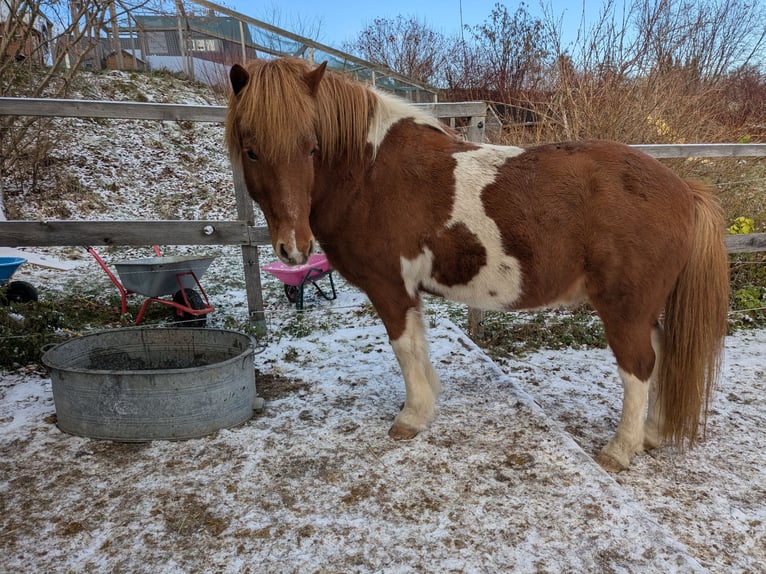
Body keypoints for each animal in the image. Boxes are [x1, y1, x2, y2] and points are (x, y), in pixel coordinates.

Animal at [225, 57, 730, 471]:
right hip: (641, 308)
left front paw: (412, 417)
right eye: (252, 150)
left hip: (624, 309)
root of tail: (683, 188)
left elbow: (404, 349)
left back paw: (621, 449)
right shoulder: (408, 290)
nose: (294, 248)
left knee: (640, 366)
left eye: (311, 146)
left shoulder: (389, 287)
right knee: (662, 351)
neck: (369, 173)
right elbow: (418, 346)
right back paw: (651, 434)